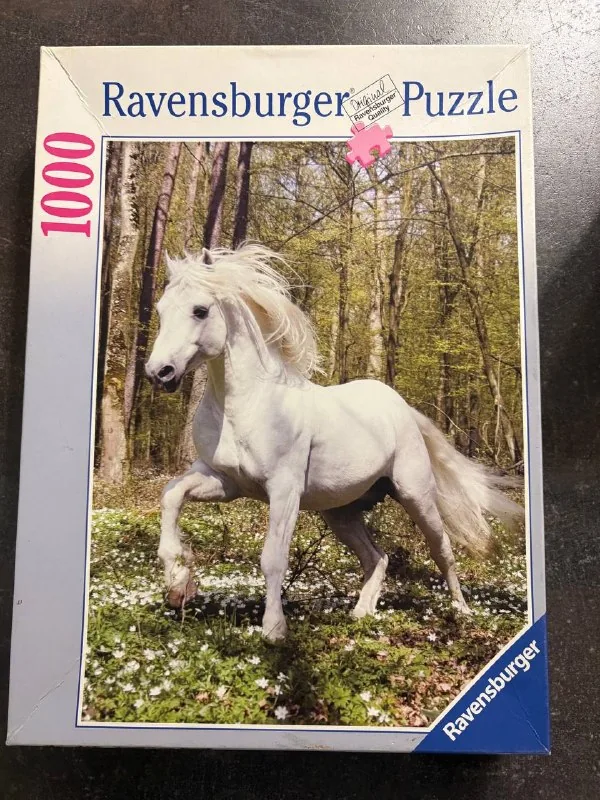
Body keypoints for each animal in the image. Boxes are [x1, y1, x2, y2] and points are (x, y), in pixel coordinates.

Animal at [145, 243, 524, 641]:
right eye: (160, 310)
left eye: (200, 310)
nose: (159, 373)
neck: (245, 405)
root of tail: (401, 408)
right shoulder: (224, 480)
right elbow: (171, 494)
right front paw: (177, 582)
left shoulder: (283, 490)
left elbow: (273, 558)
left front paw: (274, 630)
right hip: (341, 512)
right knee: (377, 557)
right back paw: (361, 613)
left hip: (415, 495)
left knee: (443, 550)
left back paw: (461, 612)